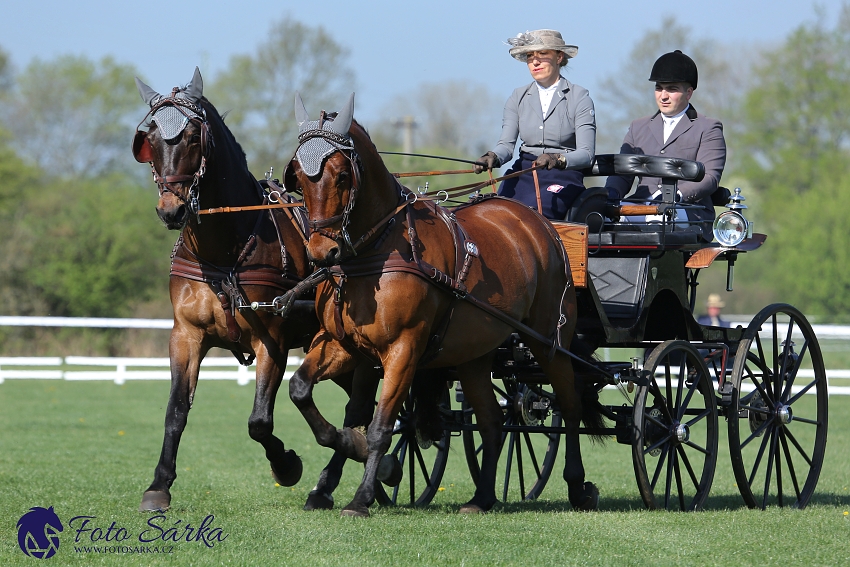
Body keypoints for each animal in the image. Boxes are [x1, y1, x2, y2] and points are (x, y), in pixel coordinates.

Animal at [131, 69, 376, 512]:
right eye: (151, 138)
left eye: (192, 137)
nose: (171, 210)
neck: (225, 251)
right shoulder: (186, 335)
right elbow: (176, 411)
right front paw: (159, 485)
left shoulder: (271, 340)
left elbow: (260, 422)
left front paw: (286, 465)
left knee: (365, 407)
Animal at [284, 94, 596, 520]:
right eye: (299, 177)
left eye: (343, 176)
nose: (321, 252)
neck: (378, 250)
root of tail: (540, 224)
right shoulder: (343, 344)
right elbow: (304, 391)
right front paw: (344, 446)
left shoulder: (403, 349)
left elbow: (380, 425)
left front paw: (361, 497)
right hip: (476, 351)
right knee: (492, 420)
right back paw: (482, 497)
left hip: (551, 339)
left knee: (570, 404)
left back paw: (578, 486)